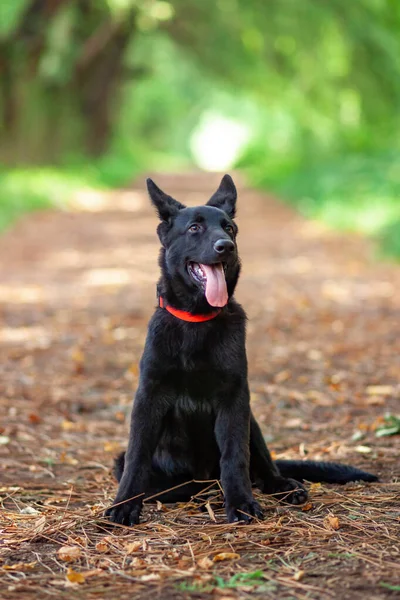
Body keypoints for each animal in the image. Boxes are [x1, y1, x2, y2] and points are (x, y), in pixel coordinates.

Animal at [104, 173, 376, 524]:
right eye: (195, 228)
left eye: (230, 228)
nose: (226, 246)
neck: (198, 320)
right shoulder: (149, 397)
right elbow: (137, 457)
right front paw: (125, 504)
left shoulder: (235, 399)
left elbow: (235, 457)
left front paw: (241, 502)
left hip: (252, 421)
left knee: (261, 467)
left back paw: (280, 484)